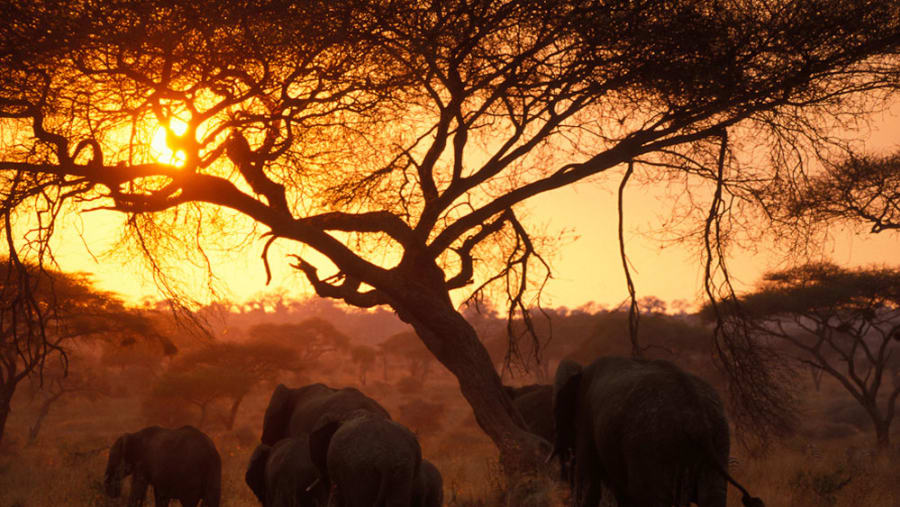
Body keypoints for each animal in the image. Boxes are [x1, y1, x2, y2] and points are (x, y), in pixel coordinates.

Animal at [552, 357, 764, 507]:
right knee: (712, 498)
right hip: (719, 436)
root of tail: (695, 416)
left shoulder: (588, 424)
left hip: (652, 446)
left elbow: (588, 488)